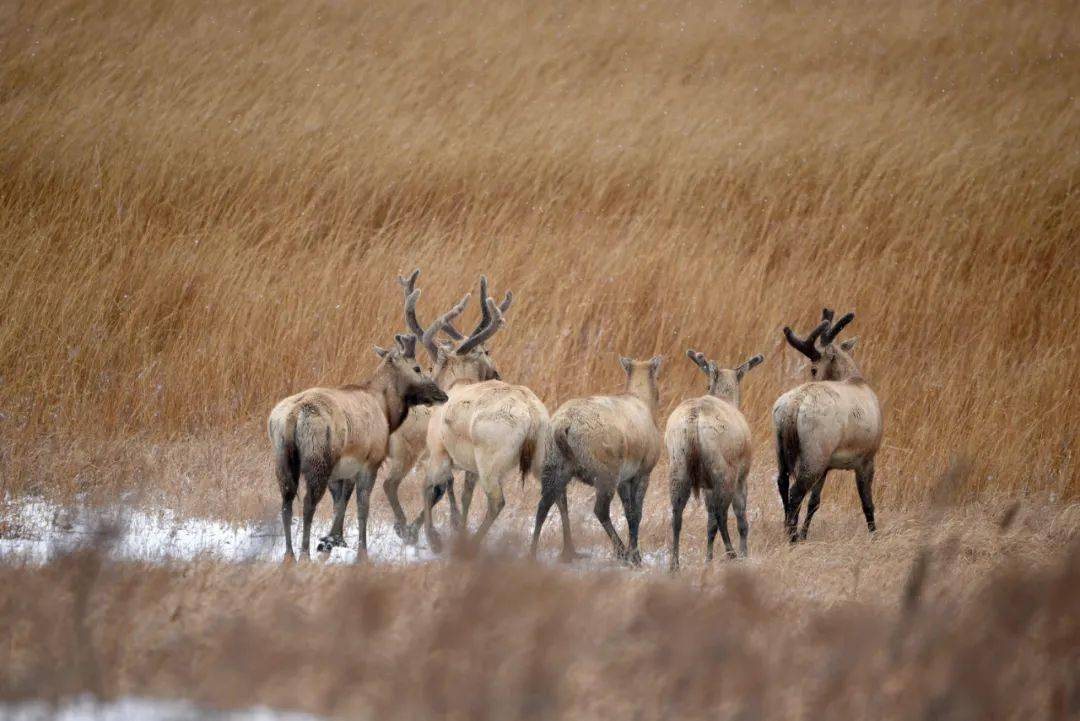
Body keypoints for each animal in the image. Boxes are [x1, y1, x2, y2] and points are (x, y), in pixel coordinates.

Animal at [533, 354, 665, 561]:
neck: (643, 400)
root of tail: (562, 426)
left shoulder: (624, 478)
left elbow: (628, 512)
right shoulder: (643, 471)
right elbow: (636, 513)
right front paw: (635, 555)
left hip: (554, 465)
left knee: (545, 506)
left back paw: (540, 553)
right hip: (605, 472)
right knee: (600, 510)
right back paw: (621, 551)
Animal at [773, 308, 881, 539]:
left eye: (813, 369)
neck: (854, 378)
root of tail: (793, 407)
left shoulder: (827, 466)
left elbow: (814, 502)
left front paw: (805, 534)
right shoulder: (866, 458)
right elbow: (867, 503)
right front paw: (874, 535)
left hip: (783, 450)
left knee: (782, 482)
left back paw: (789, 531)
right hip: (815, 453)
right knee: (796, 491)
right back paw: (792, 536)